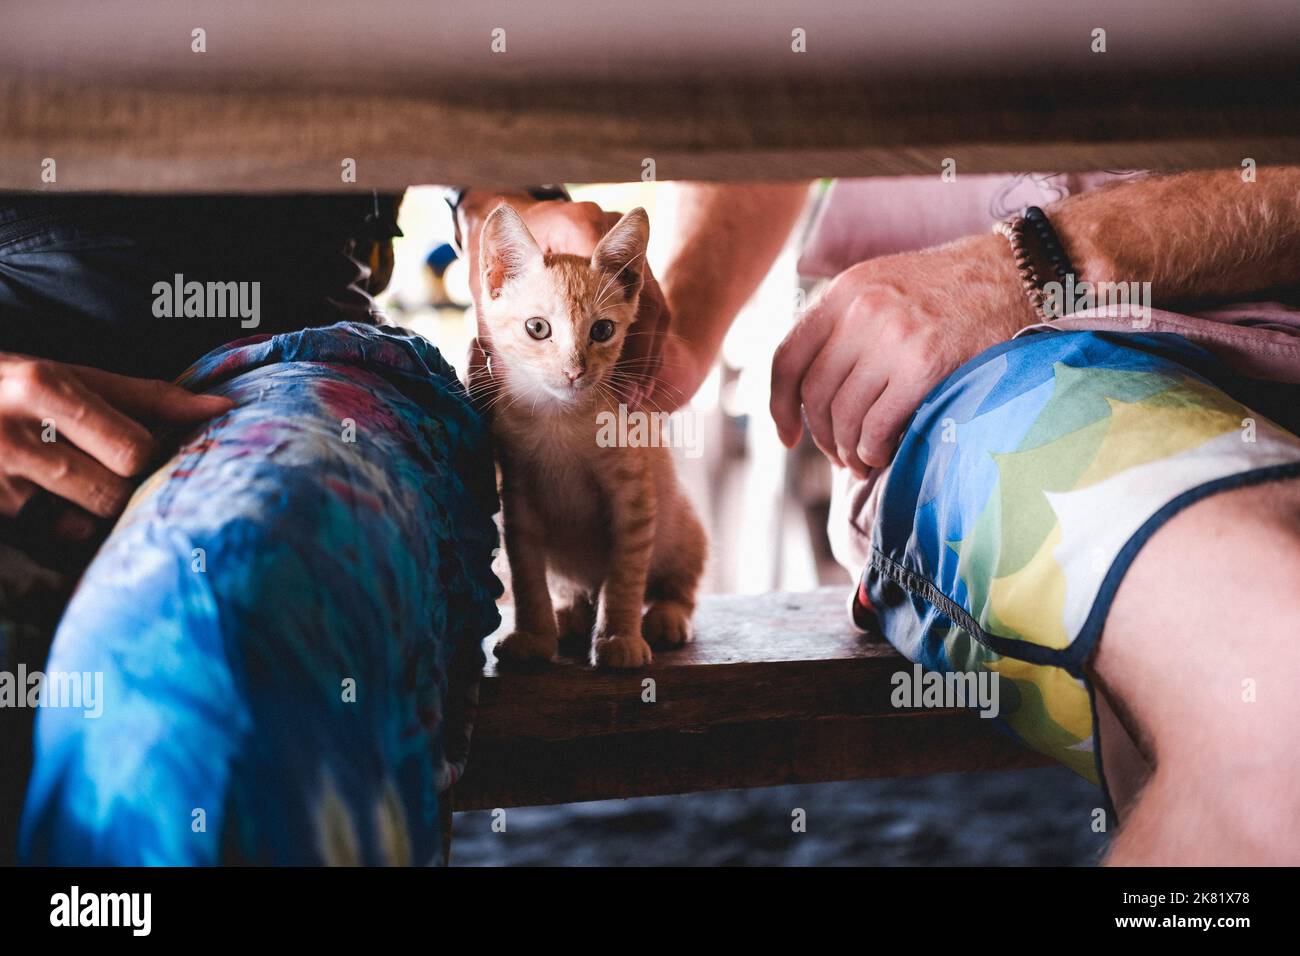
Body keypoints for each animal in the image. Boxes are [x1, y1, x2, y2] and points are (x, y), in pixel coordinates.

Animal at [473, 204, 707, 671]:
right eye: (537, 328)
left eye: (601, 331)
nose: (574, 370)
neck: (560, 420)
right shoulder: (518, 498)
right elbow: (527, 577)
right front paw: (533, 635)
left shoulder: (634, 498)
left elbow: (626, 575)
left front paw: (618, 636)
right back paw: (569, 613)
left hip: (681, 523)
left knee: (679, 579)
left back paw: (667, 614)